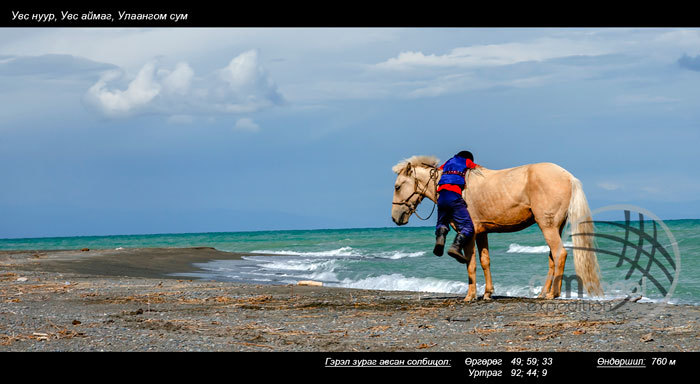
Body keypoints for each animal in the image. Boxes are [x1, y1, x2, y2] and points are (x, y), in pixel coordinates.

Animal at [392, 155, 604, 300]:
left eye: (397, 186)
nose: (395, 218)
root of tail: (569, 177)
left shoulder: (469, 233)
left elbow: (470, 263)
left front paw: (470, 295)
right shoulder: (481, 233)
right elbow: (485, 261)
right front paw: (487, 293)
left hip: (548, 227)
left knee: (560, 254)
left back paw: (554, 294)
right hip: (555, 228)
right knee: (553, 258)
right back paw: (544, 293)